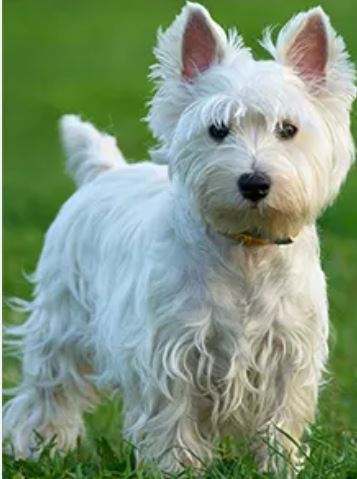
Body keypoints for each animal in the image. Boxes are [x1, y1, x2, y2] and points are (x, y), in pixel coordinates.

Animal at [4, 2, 354, 476]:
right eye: (217, 129)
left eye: (287, 129)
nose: (254, 182)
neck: (246, 249)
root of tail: (105, 171)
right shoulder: (172, 354)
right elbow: (175, 424)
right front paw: (177, 469)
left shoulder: (288, 354)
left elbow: (280, 426)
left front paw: (280, 468)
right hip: (60, 321)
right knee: (47, 391)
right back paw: (37, 449)